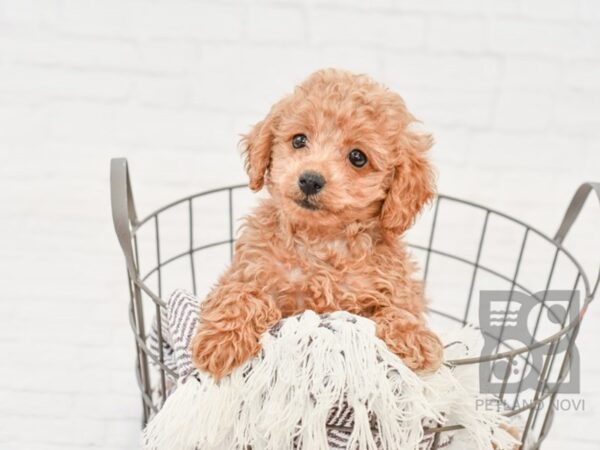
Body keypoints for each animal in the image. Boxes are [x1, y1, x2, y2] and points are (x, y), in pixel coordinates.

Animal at [195, 69, 442, 380]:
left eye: (358, 157)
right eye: (299, 140)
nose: (310, 179)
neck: (320, 241)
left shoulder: (393, 288)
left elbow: (401, 307)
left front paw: (415, 337)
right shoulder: (247, 270)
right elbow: (239, 294)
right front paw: (221, 340)